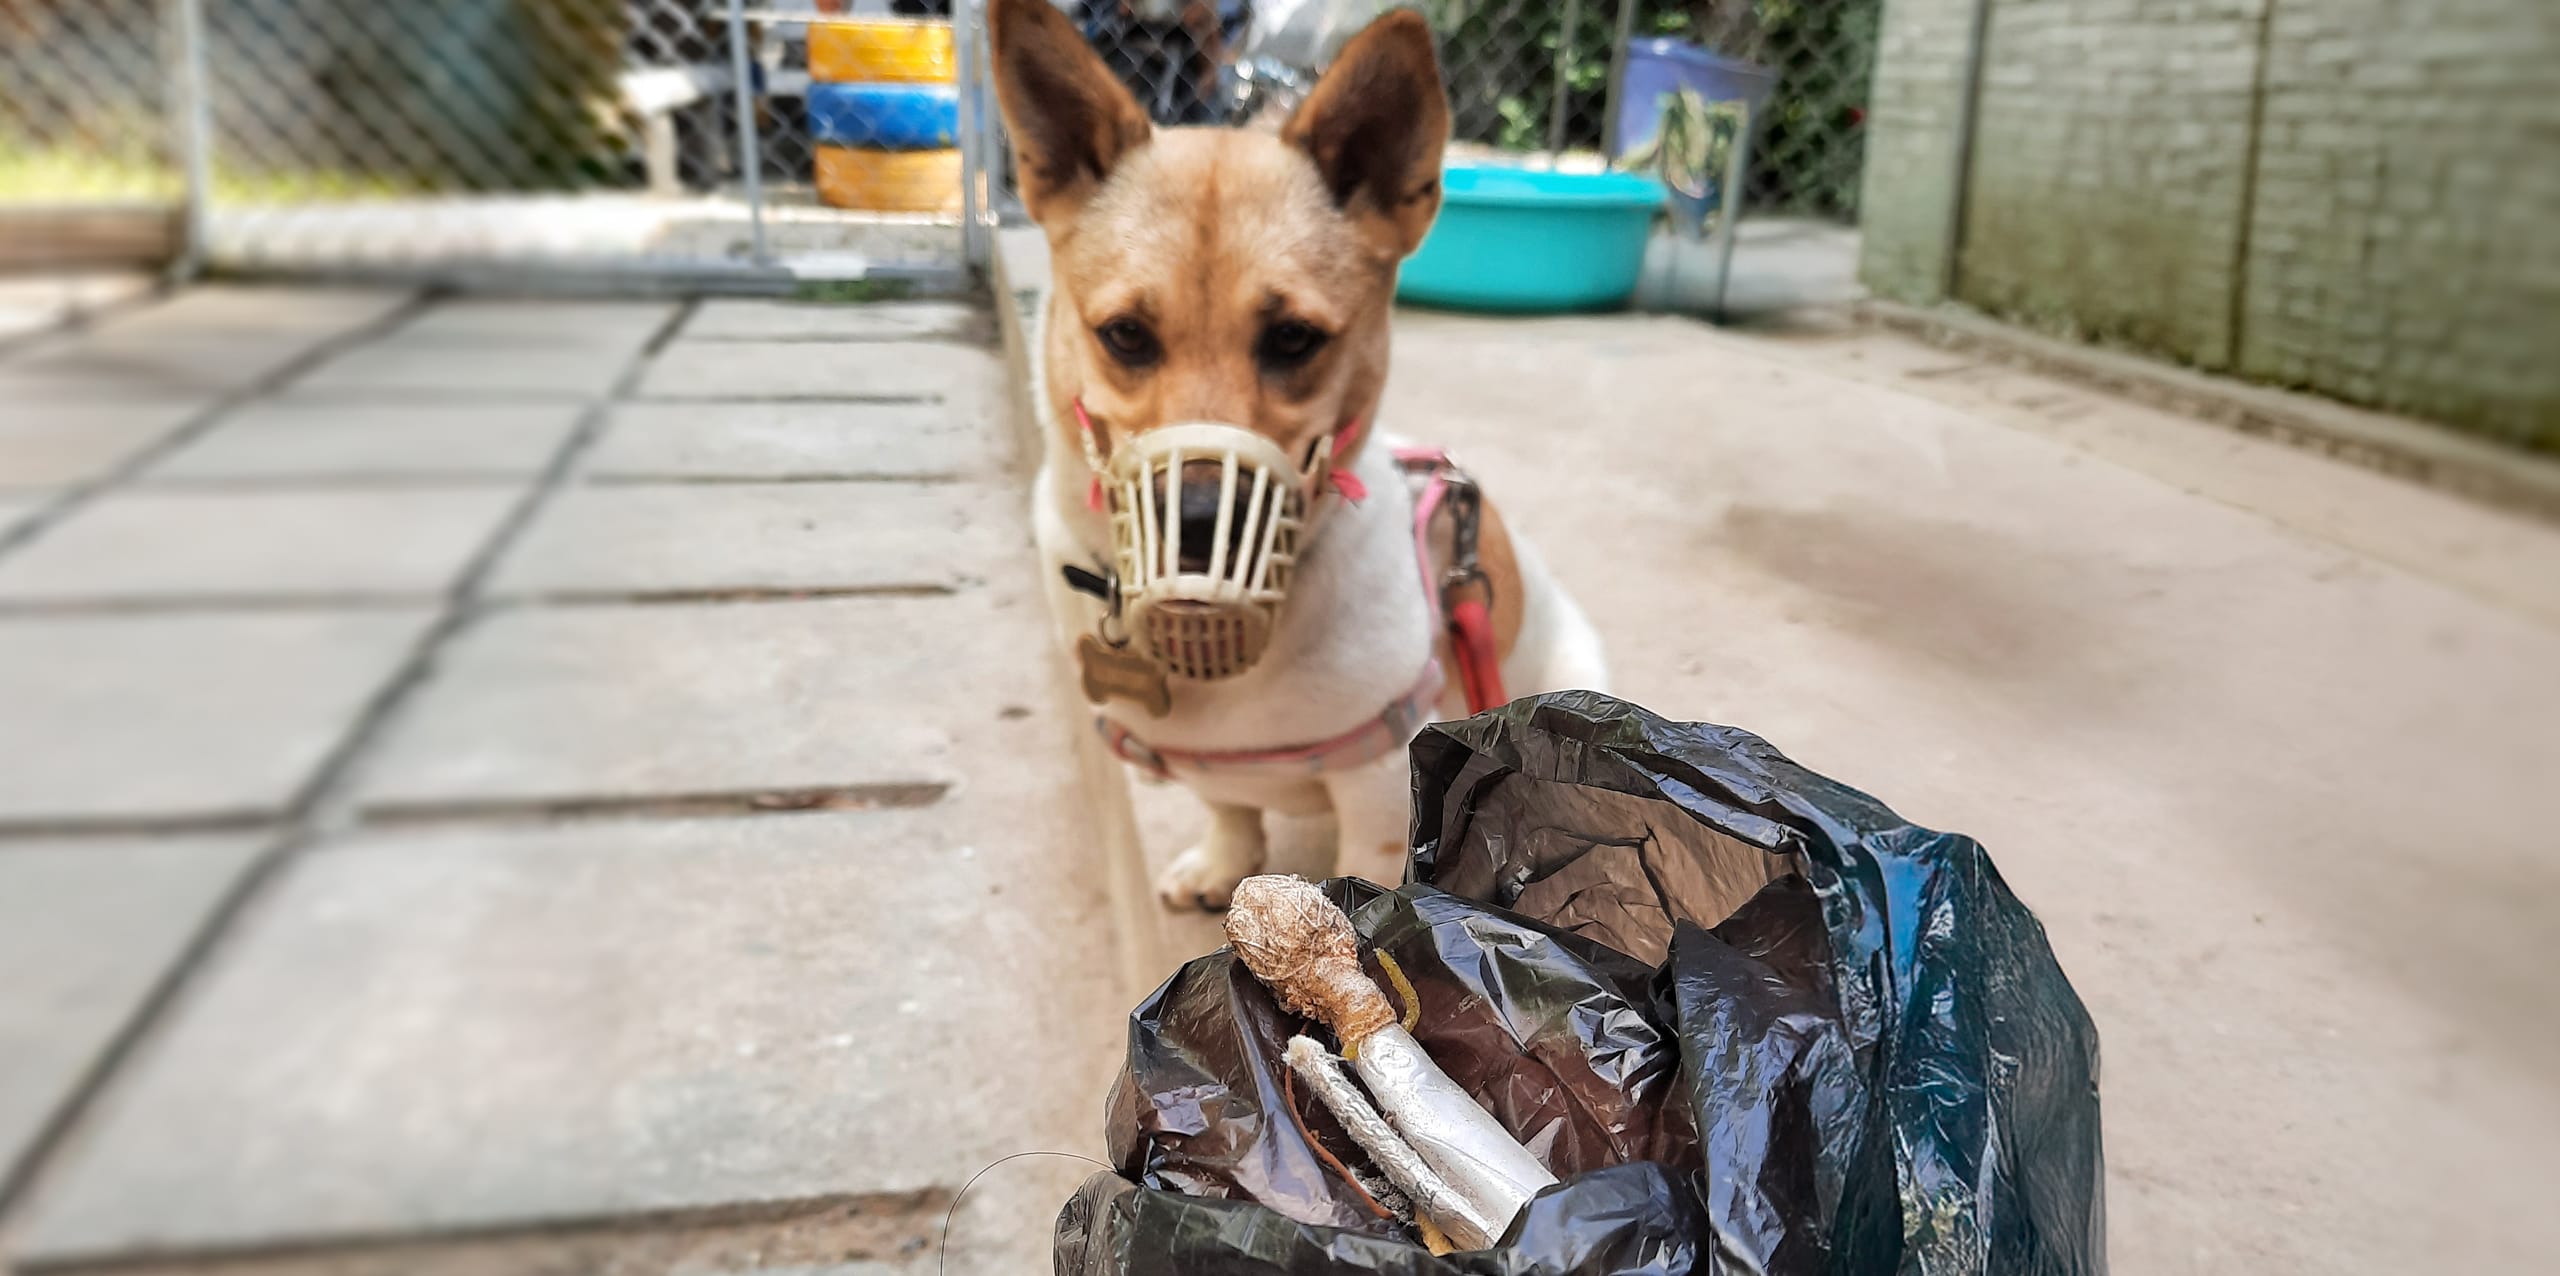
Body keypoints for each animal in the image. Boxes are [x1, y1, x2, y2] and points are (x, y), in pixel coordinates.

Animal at [989, 0, 1608, 908]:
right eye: (1125, 335)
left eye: (1293, 338)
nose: (1197, 524)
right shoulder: (1217, 772)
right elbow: (1228, 808)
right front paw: (1222, 860)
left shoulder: (1381, 789)